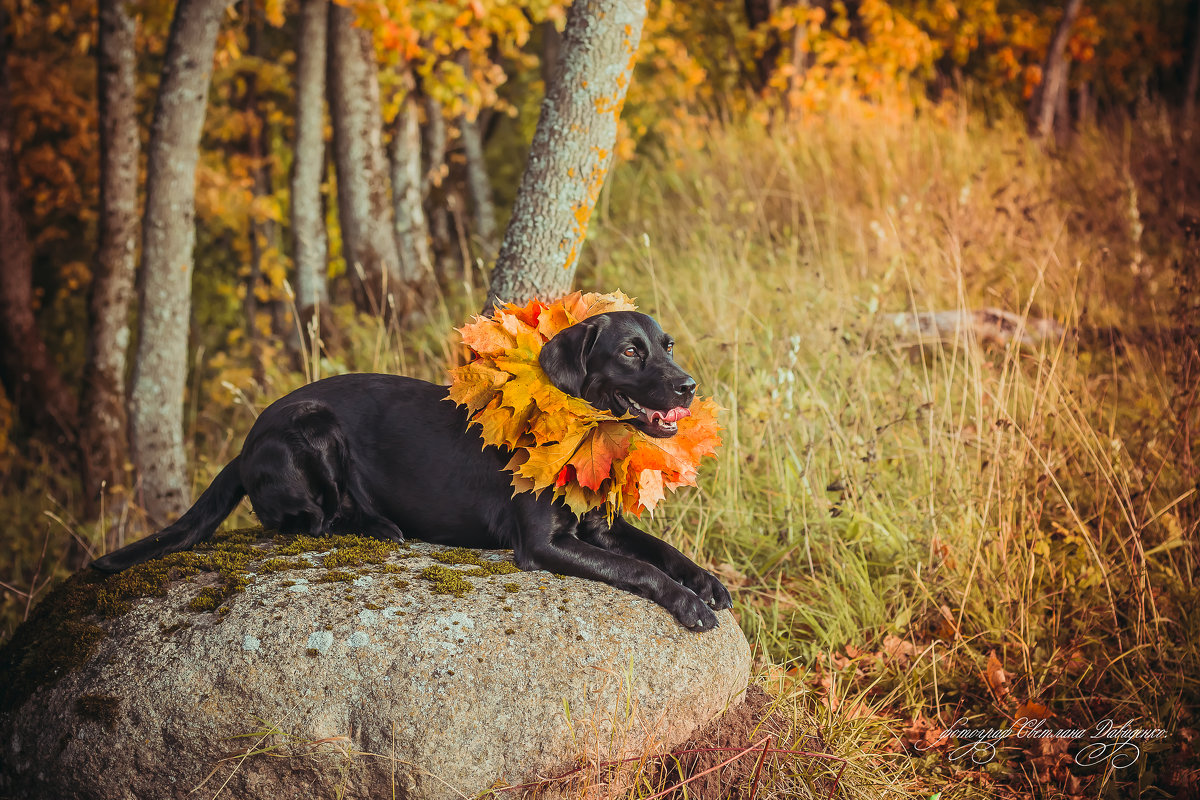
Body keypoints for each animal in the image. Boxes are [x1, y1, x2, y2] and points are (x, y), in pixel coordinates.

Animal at [91, 309, 729, 628]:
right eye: (630, 351)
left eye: (667, 345)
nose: (689, 385)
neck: (582, 431)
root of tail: (246, 443)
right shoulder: (543, 544)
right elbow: (638, 569)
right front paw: (687, 603)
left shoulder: (598, 525)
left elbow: (661, 551)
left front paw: (706, 582)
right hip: (312, 426)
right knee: (311, 522)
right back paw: (381, 526)